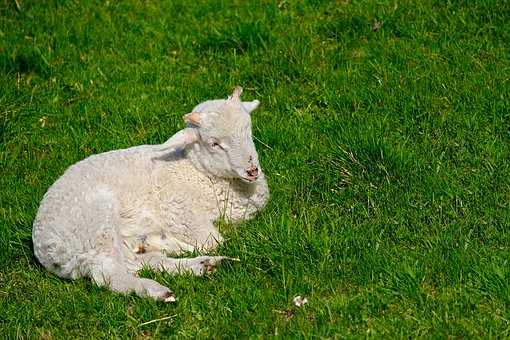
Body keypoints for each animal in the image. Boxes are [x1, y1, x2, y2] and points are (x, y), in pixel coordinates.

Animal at [30, 86, 270, 302]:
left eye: (249, 131)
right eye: (214, 144)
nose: (252, 170)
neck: (195, 170)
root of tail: (45, 249)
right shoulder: (181, 213)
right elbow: (214, 240)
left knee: (137, 262)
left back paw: (199, 263)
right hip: (94, 226)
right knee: (110, 275)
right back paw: (157, 290)